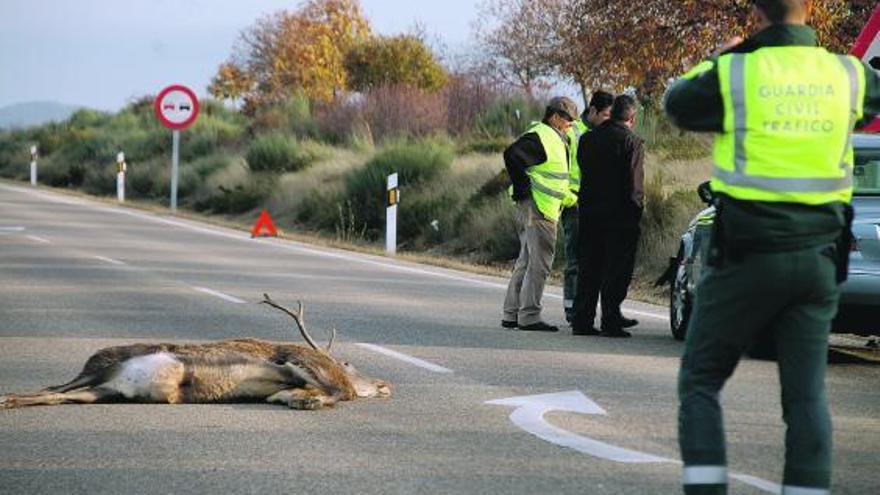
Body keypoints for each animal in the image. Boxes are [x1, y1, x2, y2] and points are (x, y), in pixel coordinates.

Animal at [0, 294, 392, 410]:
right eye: (349, 361)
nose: (387, 385)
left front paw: (298, 398)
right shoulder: (298, 356)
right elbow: (342, 390)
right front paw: (309, 399)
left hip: (103, 390)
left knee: (54, 394)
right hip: (101, 363)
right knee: (52, 386)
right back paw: (6, 399)